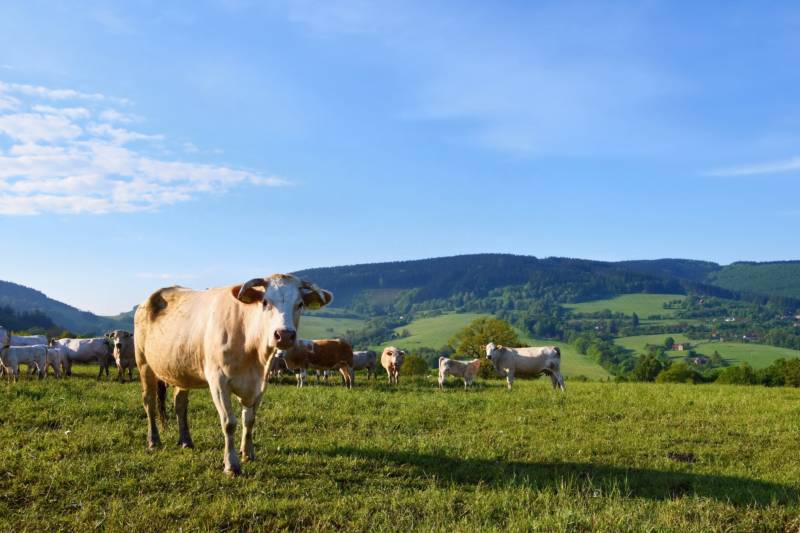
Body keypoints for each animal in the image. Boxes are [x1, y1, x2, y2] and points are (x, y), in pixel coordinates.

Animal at [134, 274, 332, 474]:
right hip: (144, 363)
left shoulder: (259, 384)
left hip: (181, 369)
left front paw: (248, 453)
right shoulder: (218, 382)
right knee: (149, 402)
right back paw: (153, 441)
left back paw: (186, 440)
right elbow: (229, 423)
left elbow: (249, 420)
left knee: (180, 404)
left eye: (300, 304)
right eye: (265, 302)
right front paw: (231, 464)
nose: (283, 335)